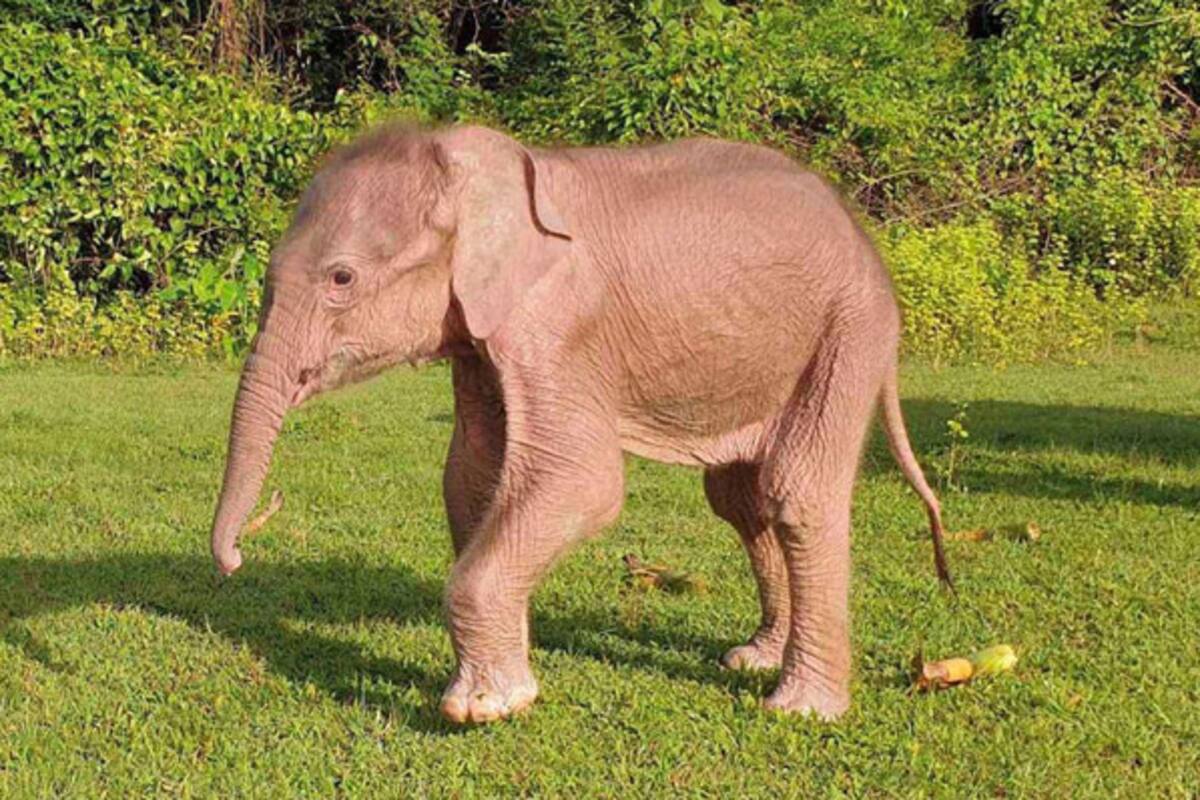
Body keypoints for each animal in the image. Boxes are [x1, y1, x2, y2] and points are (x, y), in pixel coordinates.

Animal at [209, 123, 951, 724]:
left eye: (341, 279)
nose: (236, 558)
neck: (473, 163)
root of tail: (865, 237)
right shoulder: (483, 336)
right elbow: (472, 477)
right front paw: (503, 678)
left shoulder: (561, 326)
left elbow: (580, 481)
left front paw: (484, 708)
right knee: (740, 498)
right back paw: (754, 659)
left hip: (850, 328)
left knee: (797, 492)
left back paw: (801, 708)